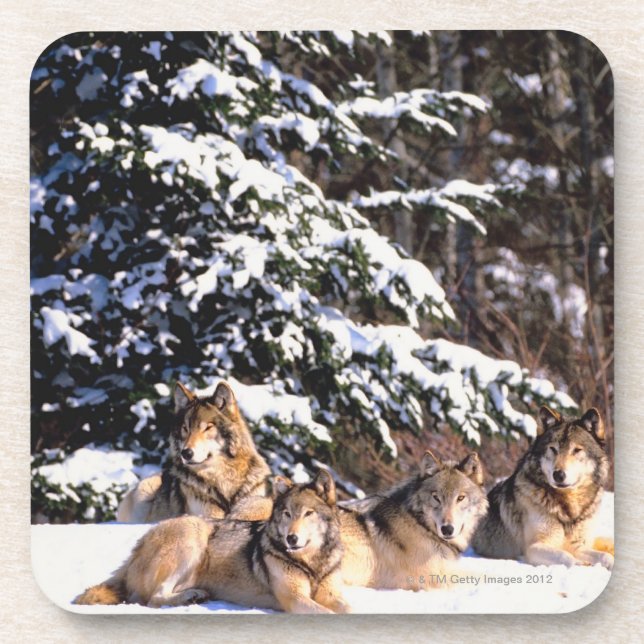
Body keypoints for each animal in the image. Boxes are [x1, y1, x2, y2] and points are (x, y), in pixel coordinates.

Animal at [74, 470, 350, 613]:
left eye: (308, 513)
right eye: (287, 514)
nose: (291, 538)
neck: (314, 564)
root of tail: (136, 549)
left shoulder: (331, 594)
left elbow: (348, 609)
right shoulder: (294, 598)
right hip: (192, 535)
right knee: (154, 598)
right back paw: (190, 597)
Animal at [117, 381, 272, 523]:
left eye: (208, 427)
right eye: (185, 428)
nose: (186, 453)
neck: (224, 480)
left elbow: (262, 505)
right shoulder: (204, 513)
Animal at [338, 450, 488, 590]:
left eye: (460, 498)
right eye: (436, 498)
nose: (447, 529)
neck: (419, 524)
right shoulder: (435, 578)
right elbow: (483, 576)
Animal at [472, 406, 613, 569]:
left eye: (577, 450)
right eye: (553, 449)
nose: (558, 474)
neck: (568, 508)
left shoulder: (579, 546)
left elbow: (606, 557)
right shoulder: (533, 548)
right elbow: (566, 557)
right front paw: (580, 564)